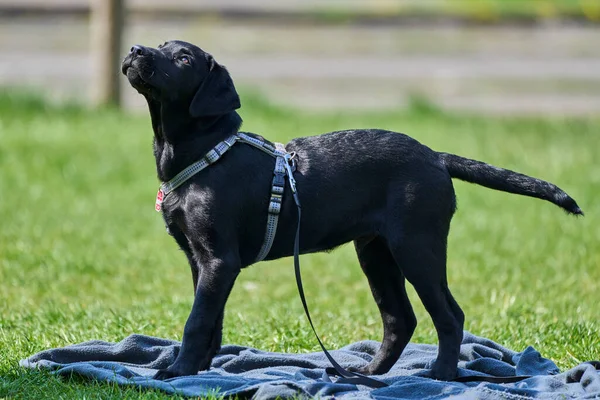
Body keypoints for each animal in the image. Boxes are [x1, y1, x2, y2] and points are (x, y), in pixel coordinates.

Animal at [120, 40, 580, 382]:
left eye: (183, 58)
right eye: (161, 44)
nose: (136, 49)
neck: (206, 153)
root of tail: (435, 157)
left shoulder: (220, 259)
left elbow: (197, 320)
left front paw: (176, 370)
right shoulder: (200, 259)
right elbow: (211, 320)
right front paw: (197, 370)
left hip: (417, 245)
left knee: (449, 314)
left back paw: (441, 376)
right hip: (376, 252)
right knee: (400, 320)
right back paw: (367, 374)